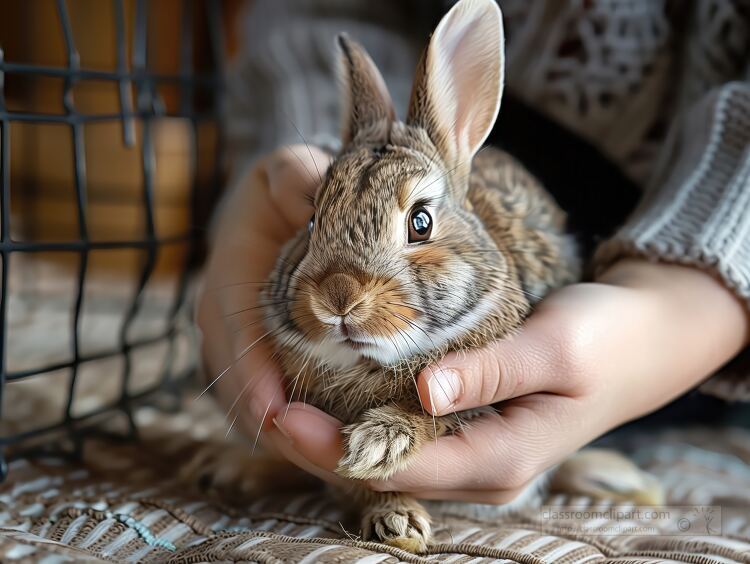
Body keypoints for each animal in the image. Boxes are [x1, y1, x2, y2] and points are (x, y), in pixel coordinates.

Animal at [191, 0, 668, 552]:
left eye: (420, 223)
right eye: (311, 221)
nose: (338, 298)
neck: (367, 362)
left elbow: (435, 417)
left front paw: (378, 444)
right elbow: (356, 487)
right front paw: (398, 520)